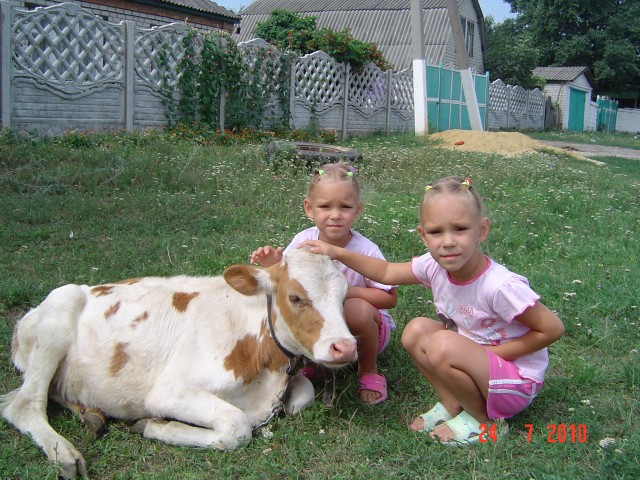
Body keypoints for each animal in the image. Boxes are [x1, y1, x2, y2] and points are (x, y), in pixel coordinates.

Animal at [0, 249, 356, 478]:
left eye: (344, 297)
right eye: (295, 297)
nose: (345, 347)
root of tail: (24, 321)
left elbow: (302, 396)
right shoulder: (169, 391)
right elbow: (236, 426)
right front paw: (154, 425)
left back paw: (91, 414)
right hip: (60, 311)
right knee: (23, 404)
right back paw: (64, 453)